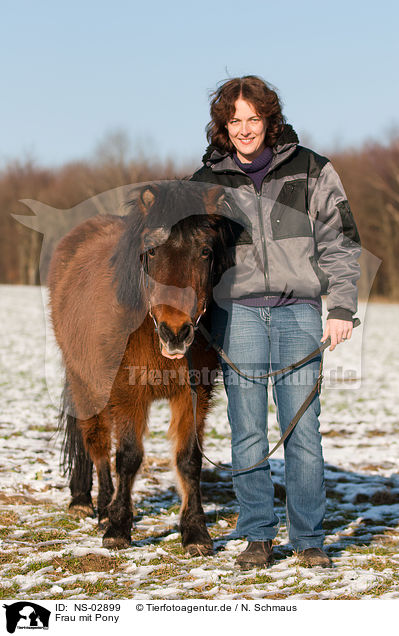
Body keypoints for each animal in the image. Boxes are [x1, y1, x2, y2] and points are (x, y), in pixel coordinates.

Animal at [48, 180, 236, 556]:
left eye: (205, 251)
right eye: (150, 252)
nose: (175, 332)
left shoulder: (193, 394)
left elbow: (189, 459)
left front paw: (196, 532)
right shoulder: (126, 393)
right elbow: (128, 457)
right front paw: (118, 527)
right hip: (85, 383)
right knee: (97, 446)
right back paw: (95, 506)